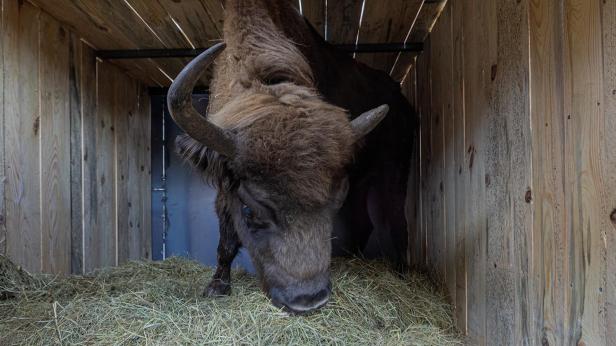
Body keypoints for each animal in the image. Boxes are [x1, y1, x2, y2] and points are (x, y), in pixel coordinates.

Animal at [168, 0, 418, 314]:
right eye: (249, 210)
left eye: (332, 204)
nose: (308, 300)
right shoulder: (224, 179)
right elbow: (226, 238)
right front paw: (216, 287)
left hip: (394, 174)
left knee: (397, 223)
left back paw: (402, 275)